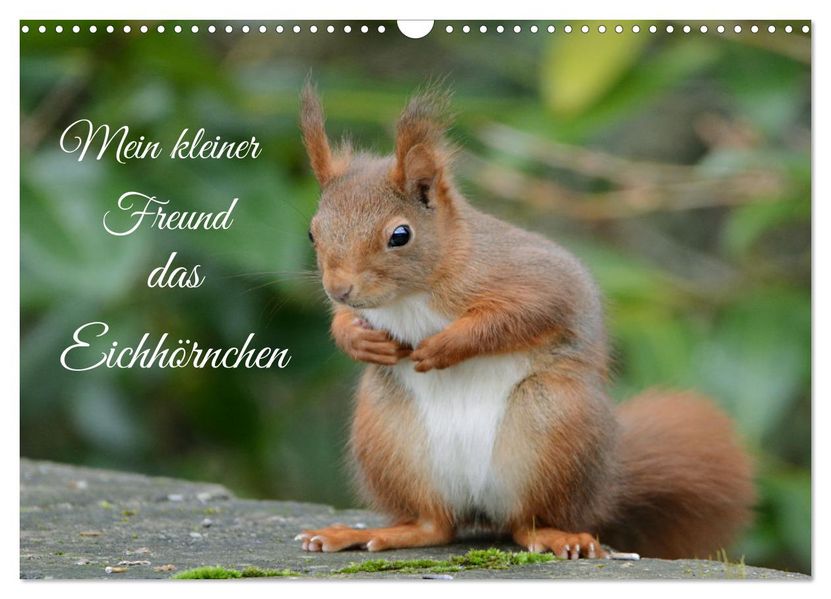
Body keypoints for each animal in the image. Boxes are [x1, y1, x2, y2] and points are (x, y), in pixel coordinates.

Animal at [295, 82, 755, 559]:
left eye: (399, 235)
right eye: (312, 232)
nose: (339, 288)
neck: (413, 293)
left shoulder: (532, 279)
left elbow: (520, 314)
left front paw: (445, 346)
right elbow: (347, 321)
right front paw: (357, 339)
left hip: (550, 427)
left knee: (525, 523)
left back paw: (559, 536)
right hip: (390, 438)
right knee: (434, 526)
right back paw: (369, 533)